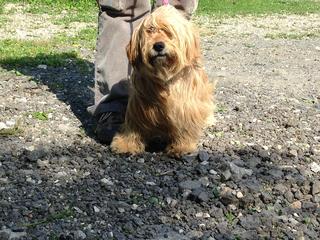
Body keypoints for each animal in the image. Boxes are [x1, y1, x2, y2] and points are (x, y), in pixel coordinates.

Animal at [110, 5, 215, 158]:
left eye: (169, 33)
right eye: (150, 31)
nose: (158, 46)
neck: (163, 78)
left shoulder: (185, 106)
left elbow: (184, 126)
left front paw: (182, 146)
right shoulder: (139, 105)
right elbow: (134, 125)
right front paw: (126, 144)